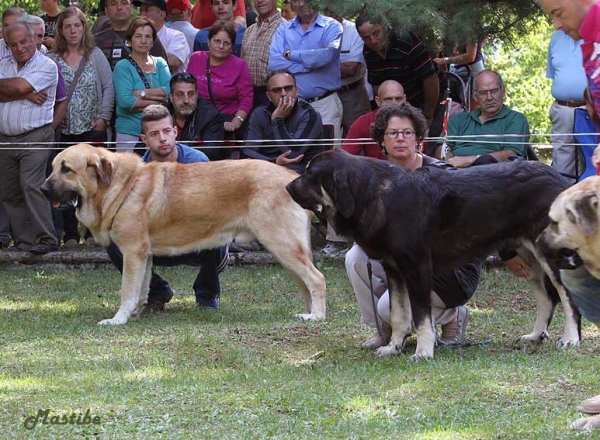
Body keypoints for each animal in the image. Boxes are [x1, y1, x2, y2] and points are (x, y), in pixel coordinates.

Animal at [41, 143, 326, 324]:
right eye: (53, 167)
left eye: (66, 169)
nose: (42, 190)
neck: (119, 186)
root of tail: (291, 178)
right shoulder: (143, 256)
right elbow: (141, 290)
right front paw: (134, 314)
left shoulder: (133, 252)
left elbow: (127, 291)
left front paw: (118, 319)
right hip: (287, 251)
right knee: (306, 284)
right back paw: (306, 313)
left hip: (283, 245)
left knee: (317, 278)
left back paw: (317, 316)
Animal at [288, 150, 580, 360]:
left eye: (310, 173)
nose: (288, 187)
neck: (371, 195)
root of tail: (562, 180)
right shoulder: (394, 269)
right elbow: (399, 315)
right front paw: (394, 347)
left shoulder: (416, 269)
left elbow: (420, 317)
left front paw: (423, 352)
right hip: (528, 257)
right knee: (547, 298)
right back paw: (535, 335)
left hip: (551, 256)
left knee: (567, 297)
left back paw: (571, 339)